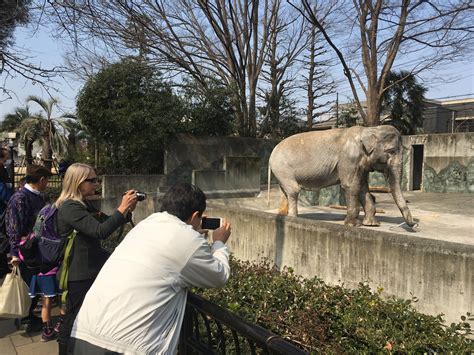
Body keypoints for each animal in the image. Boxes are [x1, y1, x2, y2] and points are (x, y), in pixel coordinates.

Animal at [268, 125, 412, 228]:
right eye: (391, 151)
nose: (413, 224)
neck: (369, 129)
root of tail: (272, 153)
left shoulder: (361, 164)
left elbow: (363, 187)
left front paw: (372, 224)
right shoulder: (349, 158)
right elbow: (351, 186)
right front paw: (354, 225)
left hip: (281, 172)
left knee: (285, 191)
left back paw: (282, 215)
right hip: (284, 169)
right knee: (293, 190)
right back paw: (293, 218)